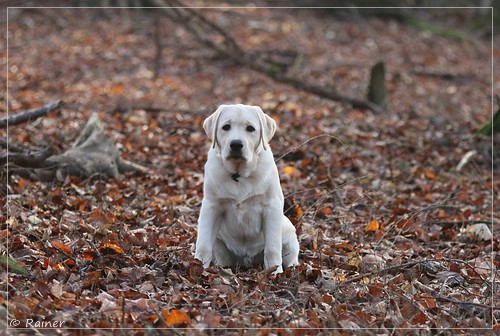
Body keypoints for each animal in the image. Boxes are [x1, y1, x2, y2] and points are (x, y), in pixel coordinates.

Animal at [194, 103, 296, 274]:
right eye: (226, 127)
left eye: (250, 128)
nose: (236, 144)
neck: (238, 174)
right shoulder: (211, 206)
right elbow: (203, 243)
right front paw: (197, 266)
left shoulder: (272, 207)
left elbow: (272, 247)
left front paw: (275, 272)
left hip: (288, 232)